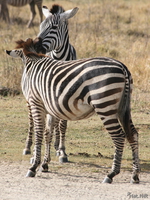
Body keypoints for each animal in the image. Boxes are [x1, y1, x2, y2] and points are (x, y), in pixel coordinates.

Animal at [5, 36, 140, 184]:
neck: (34, 62)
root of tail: (123, 67)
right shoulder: (50, 108)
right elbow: (48, 134)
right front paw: (45, 164)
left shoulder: (36, 103)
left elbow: (39, 132)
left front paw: (34, 166)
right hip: (123, 107)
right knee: (133, 134)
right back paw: (135, 175)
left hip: (104, 104)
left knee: (119, 136)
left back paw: (111, 174)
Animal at [23, 4, 78, 163]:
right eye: (41, 25)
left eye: (54, 27)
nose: (34, 46)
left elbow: (62, 124)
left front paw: (62, 151)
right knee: (31, 120)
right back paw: (28, 147)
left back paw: (56, 144)